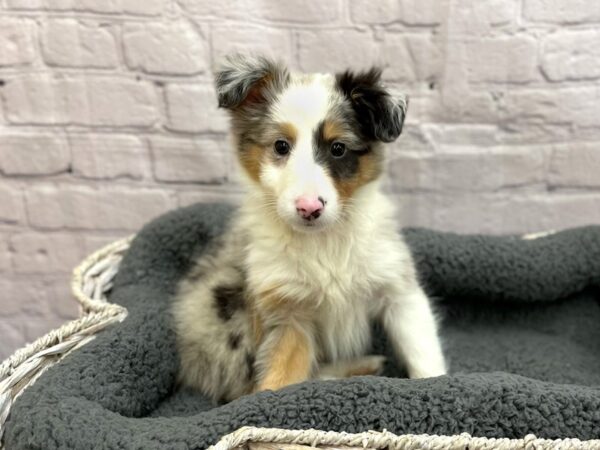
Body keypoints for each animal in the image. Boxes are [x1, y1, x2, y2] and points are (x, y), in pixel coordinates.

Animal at [173, 54, 446, 402]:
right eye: (280, 146)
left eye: (338, 148)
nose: (309, 208)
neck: (324, 242)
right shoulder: (288, 314)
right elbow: (278, 380)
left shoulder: (398, 289)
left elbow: (423, 352)